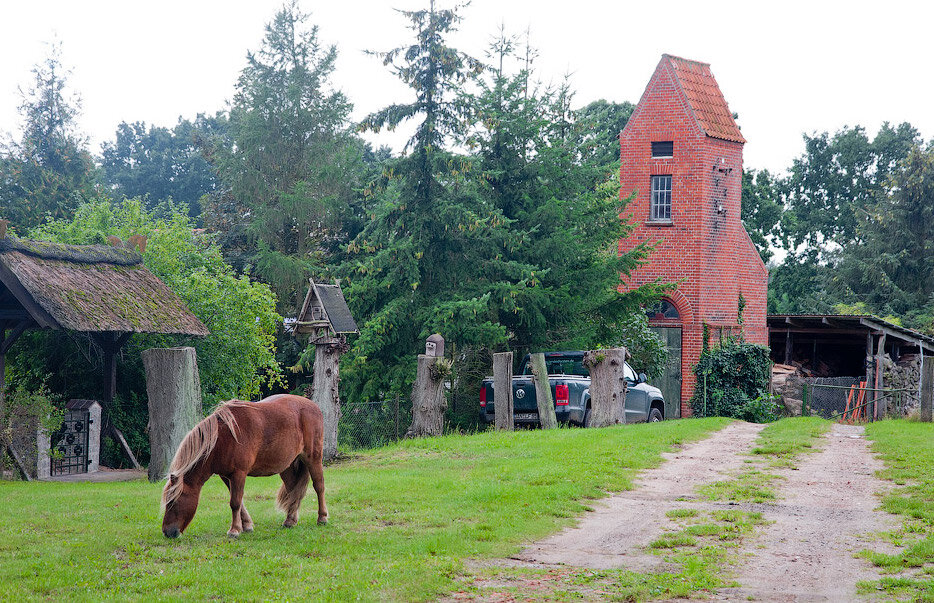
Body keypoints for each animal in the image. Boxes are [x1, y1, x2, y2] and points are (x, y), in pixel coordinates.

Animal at [158, 394, 326, 540]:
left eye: (172, 502)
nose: (167, 532)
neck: (223, 438)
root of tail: (314, 406)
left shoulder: (239, 473)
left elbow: (235, 502)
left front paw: (234, 530)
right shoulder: (226, 476)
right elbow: (239, 503)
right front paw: (246, 526)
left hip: (313, 458)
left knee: (319, 486)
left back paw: (322, 518)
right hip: (287, 466)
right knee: (293, 491)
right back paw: (290, 520)